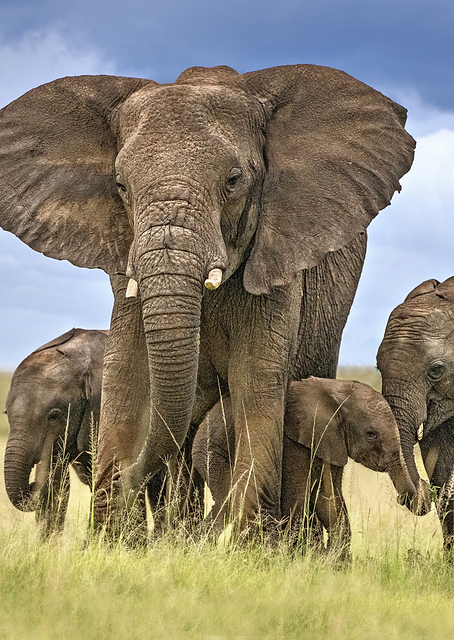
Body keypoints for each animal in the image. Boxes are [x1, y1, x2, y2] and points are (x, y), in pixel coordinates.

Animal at [192, 377, 417, 558]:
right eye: (371, 434)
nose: (402, 498)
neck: (337, 391)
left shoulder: (332, 442)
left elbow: (329, 498)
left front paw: (331, 562)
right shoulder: (294, 442)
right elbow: (299, 497)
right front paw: (306, 557)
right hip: (212, 451)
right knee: (227, 501)